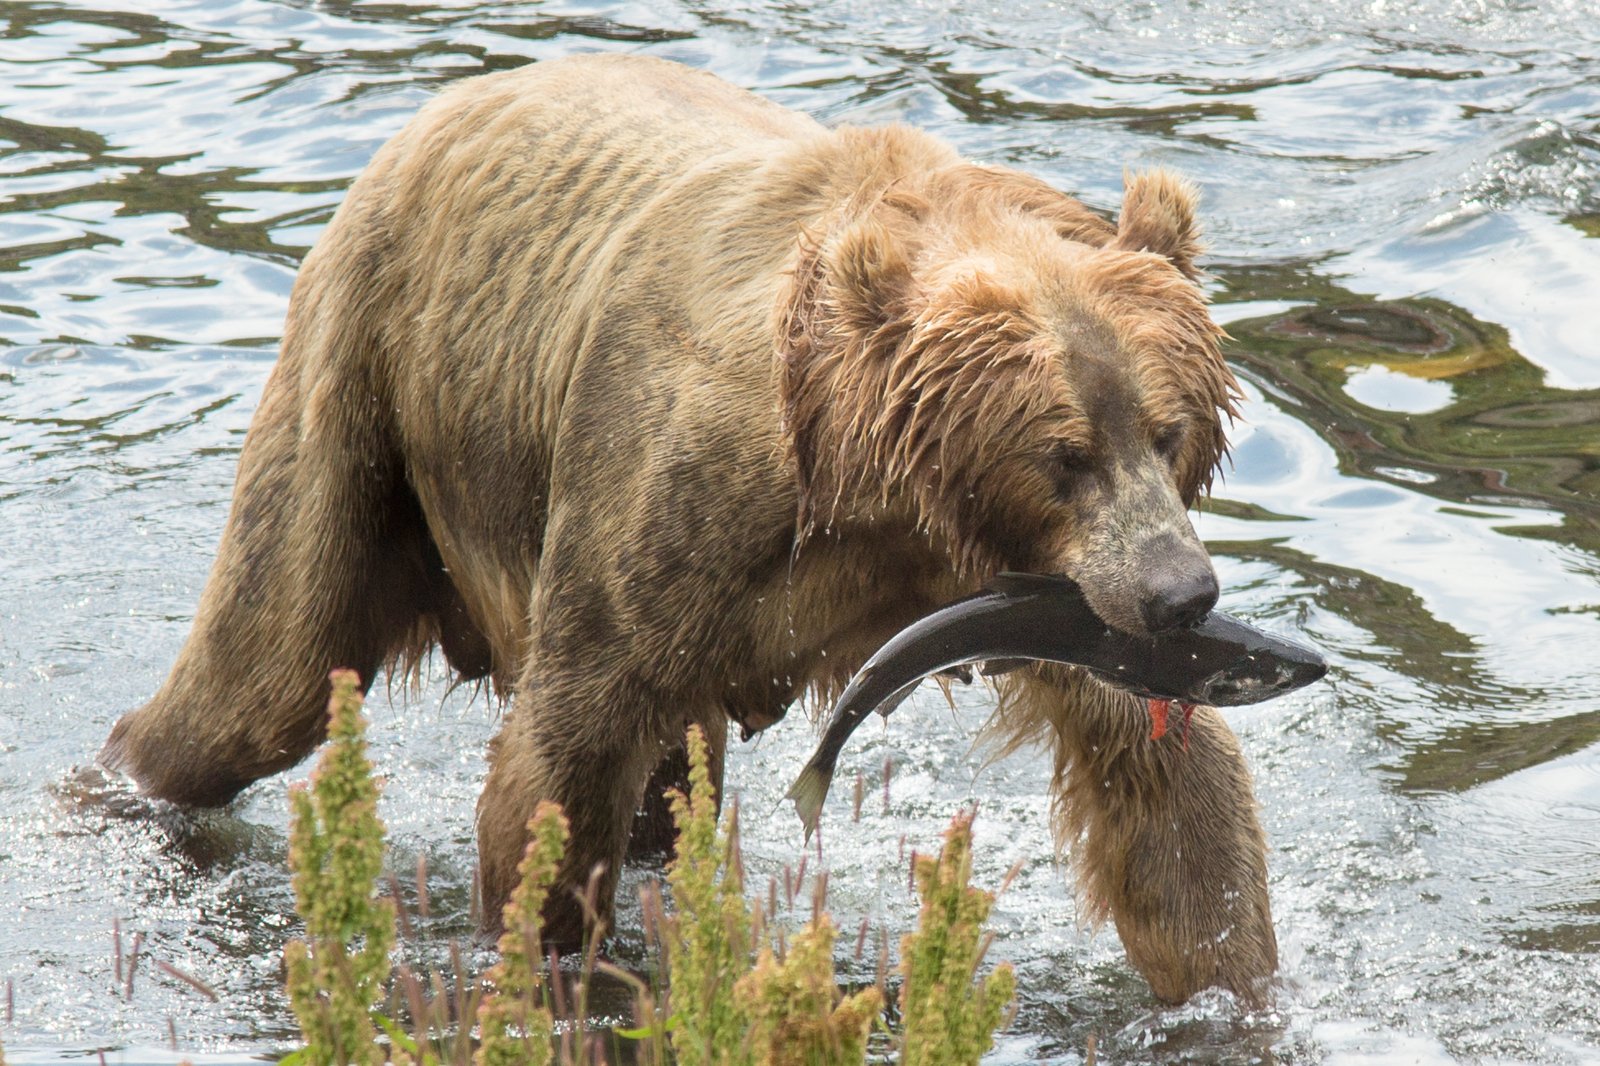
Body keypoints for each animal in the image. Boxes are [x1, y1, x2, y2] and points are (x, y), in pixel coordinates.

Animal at [96, 54, 1273, 998]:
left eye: (1166, 432)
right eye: (1062, 456)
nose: (1183, 594)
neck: (880, 494)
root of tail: (449, 103)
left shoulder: (1036, 597)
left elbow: (1171, 797)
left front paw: (1226, 985)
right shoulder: (675, 503)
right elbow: (559, 765)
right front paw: (548, 965)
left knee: (669, 782)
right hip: (365, 389)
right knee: (262, 675)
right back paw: (124, 780)